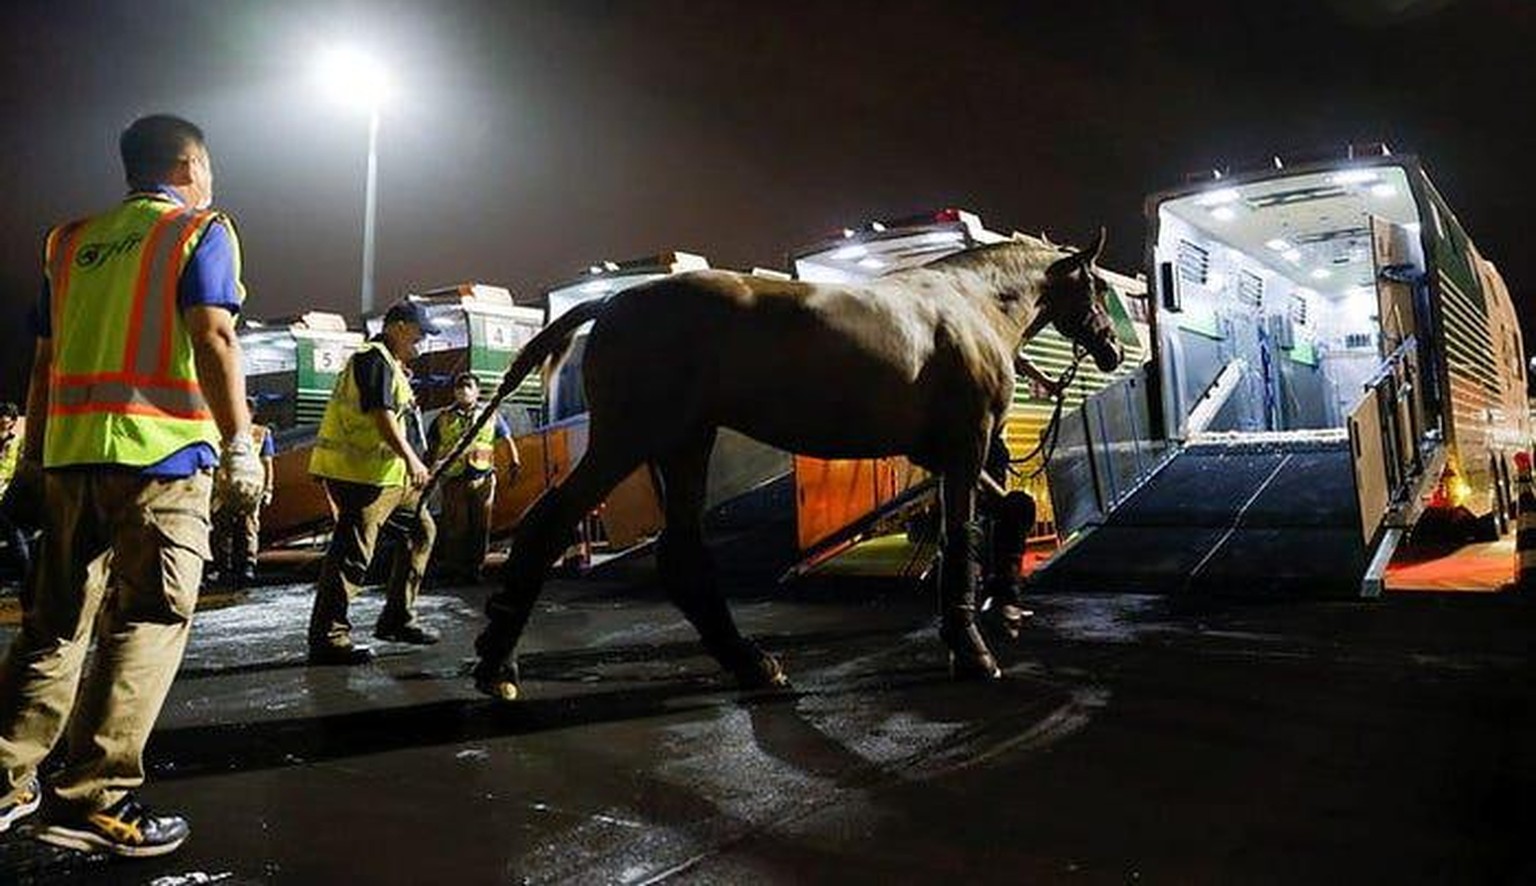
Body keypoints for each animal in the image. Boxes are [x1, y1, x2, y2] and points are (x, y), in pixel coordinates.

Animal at [460, 231, 1124, 700]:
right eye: (1097, 288)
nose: (1113, 348)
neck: (968, 304)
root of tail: (612, 301)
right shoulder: (964, 445)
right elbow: (961, 536)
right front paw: (972, 648)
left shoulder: (937, 452)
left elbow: (1013, 508)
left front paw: (1006, 605)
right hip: (629, 439)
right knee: (551, 522)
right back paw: (497, 663)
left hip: (683, 443)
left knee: (680, 554)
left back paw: (749, 662)